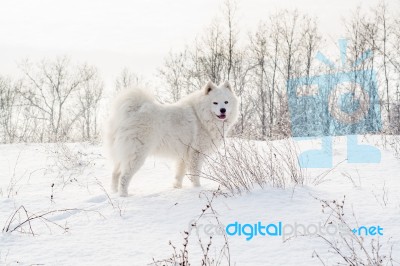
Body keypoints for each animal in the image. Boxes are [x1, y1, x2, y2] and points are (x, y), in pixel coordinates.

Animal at [104, 80, 239, 196]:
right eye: (215, 102)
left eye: (226, 102)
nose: (223, 110)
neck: (200, 116)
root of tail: (132, 111)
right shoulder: (196, 153)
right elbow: (195, 175)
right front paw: (197, 189)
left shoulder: (184, 155)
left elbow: (179, 174)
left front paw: (177, 188)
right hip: (137, 154)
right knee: (124, 176)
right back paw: (123, 195)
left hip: (122, 154)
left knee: (115, 174)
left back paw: (114, 193)